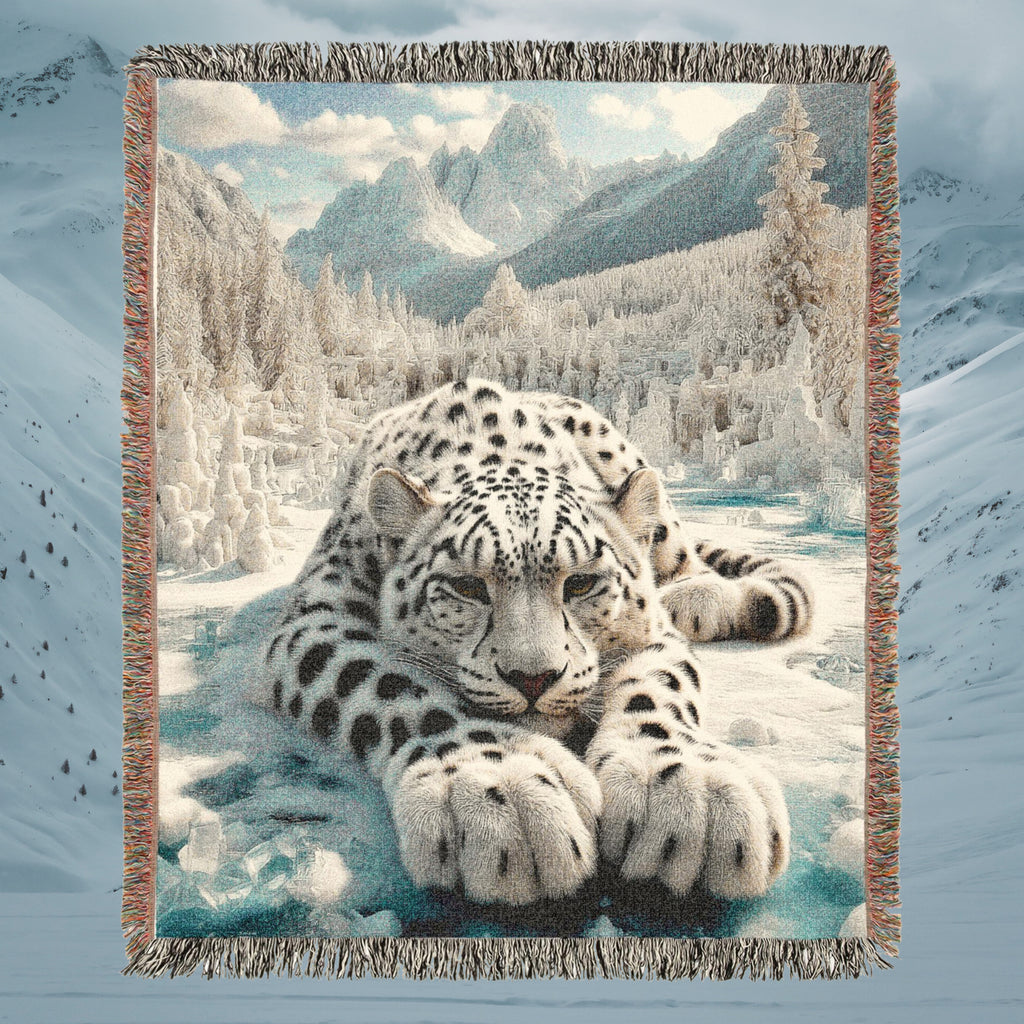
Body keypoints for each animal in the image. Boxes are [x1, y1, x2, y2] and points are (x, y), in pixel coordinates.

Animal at [254, 379, 812, 907]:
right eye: (467, 586)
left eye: (581, 582)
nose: (533, 677)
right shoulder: (318, 617)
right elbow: (392, 686)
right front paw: (503, 794)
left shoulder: (655, 632)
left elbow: (660, 685)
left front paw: (691, 793)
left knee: (686, 560)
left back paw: (699, 597)